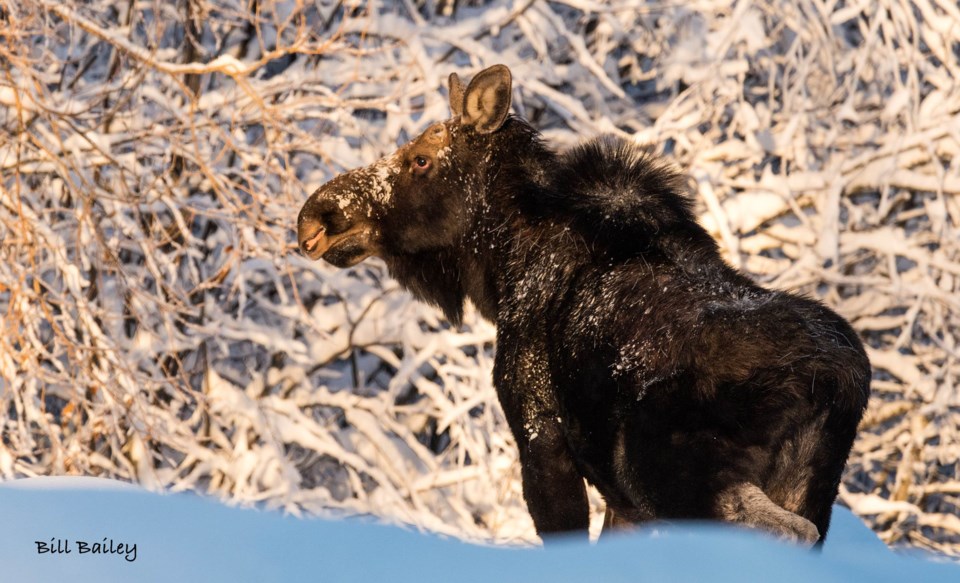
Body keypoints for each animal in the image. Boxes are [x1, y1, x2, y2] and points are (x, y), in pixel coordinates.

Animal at [298, 65, 872, 548]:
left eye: (419, 158)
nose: (315, 217)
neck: (501, 272)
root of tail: (832, 378)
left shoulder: (540, 434)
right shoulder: (622, 498)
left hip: (677, 477)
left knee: (779, 529)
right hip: (806, 486)